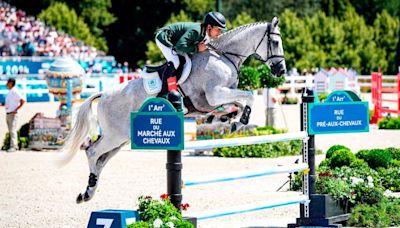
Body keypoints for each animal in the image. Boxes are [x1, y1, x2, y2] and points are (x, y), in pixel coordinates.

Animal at [58, 17, 284, 203]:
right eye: (275, 43)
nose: (280, 70)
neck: (223, 57)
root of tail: (103, 95)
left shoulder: (216, 98)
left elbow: (238, 103)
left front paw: (228, 119)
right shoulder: (215, 94)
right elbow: (249, 96)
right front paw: (240, 120)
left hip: (121, 138)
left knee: (101, 159)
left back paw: (88, 192)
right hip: (115, 135)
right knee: (92, 151)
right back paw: (88, 189)